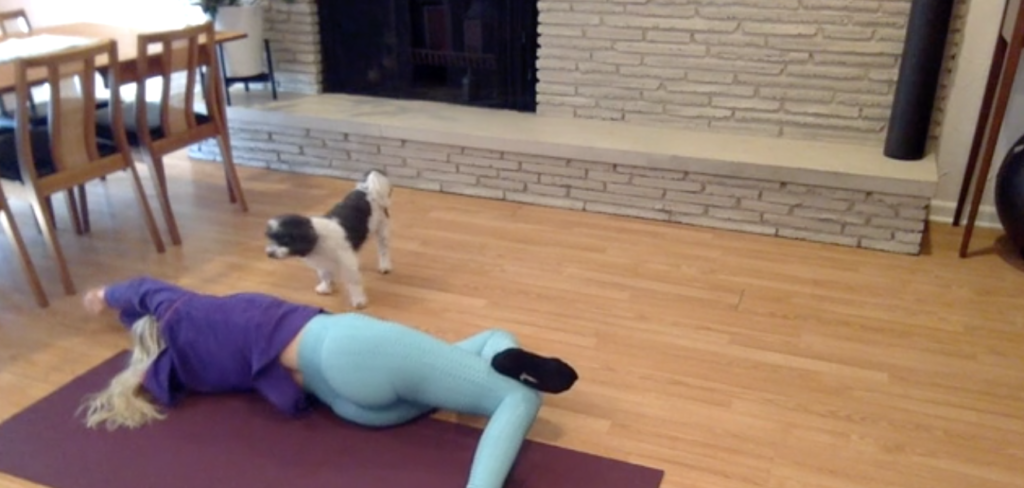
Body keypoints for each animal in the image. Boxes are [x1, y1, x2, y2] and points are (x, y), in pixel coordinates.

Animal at [264, 168, 391, 308]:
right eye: (271, 238)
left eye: (285, 240)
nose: (269, 253)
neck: (318, 239)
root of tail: (366, 189)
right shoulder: (323, 263)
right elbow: (325, 275)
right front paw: (326, 288)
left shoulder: (347, 263)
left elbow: (353, 282)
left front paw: (359, 300)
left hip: (381, 228)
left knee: (383, 249)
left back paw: (385, 266)